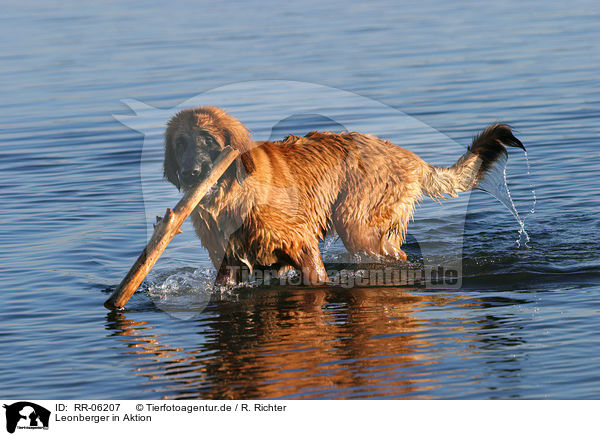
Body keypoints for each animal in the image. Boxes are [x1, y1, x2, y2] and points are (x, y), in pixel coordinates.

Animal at [163, 108, 520, 286]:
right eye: (180, 143)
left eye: (208, 140)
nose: (192, 174)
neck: (231, 193)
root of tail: (409, 157)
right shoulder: (229, 264)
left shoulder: (302, 243)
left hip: (357, 225)